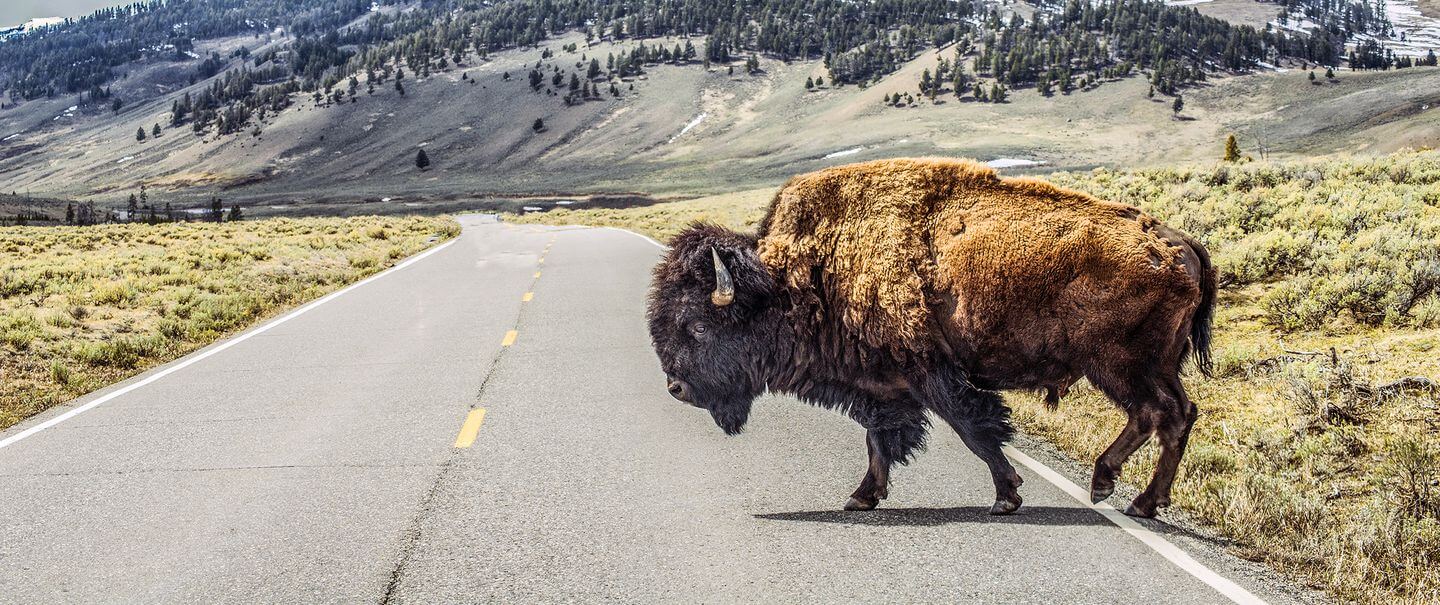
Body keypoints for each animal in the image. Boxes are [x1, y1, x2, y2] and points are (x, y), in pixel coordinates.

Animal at [648, 158, 1221, 518]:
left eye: (698, 324)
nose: (676, 388)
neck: (804, 274)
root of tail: (1180, 241)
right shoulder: (881, 386)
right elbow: (879, 439)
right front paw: (862, 497)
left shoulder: (933, 374)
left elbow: (974, 430)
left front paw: (1006, 497)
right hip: (1156, 365)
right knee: (1178, 414)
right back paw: (1143, 501)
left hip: (1119, 365)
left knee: (1154, 413)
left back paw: (1108, 485)